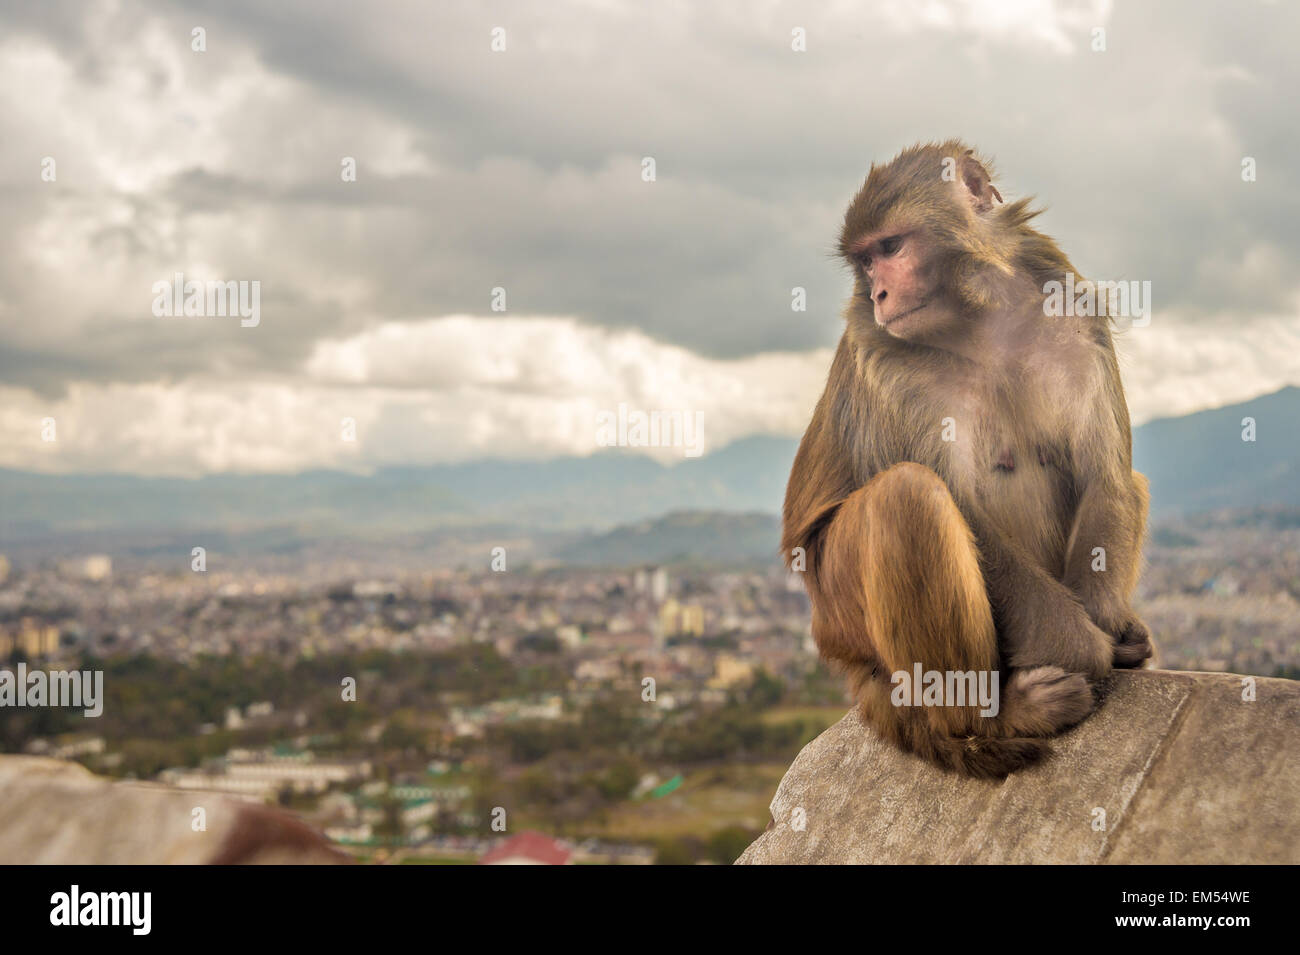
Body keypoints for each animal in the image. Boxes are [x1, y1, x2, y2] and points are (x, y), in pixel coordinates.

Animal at [783, 140, 1153, 778]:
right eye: (865, 264)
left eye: (890, 249)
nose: (878, 294)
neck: (981, 320)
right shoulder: (892, 367)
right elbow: (964, 510)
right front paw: (1083, 648)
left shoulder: (1075, 318)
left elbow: (1105, 477)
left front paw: (1112, 626)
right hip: (837, 604)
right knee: (907, 496)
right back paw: (990, 719)